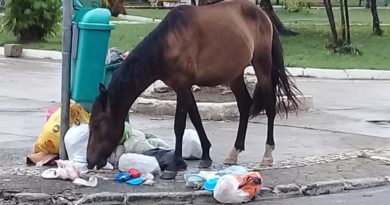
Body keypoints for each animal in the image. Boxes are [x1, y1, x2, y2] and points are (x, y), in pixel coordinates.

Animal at [88, 0, 300, 179]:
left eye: (97, 124)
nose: (90, 161)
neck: (168, 42)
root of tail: (262, 14)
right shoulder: (181, 87)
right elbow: (196, 118)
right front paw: (205, 156)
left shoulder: (182, 86)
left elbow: (180, 125)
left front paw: (174, 165)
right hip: (235, 75)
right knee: (244, 104)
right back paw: (235, 151)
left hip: (262, 64)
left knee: (270, 105)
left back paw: (267, 154)